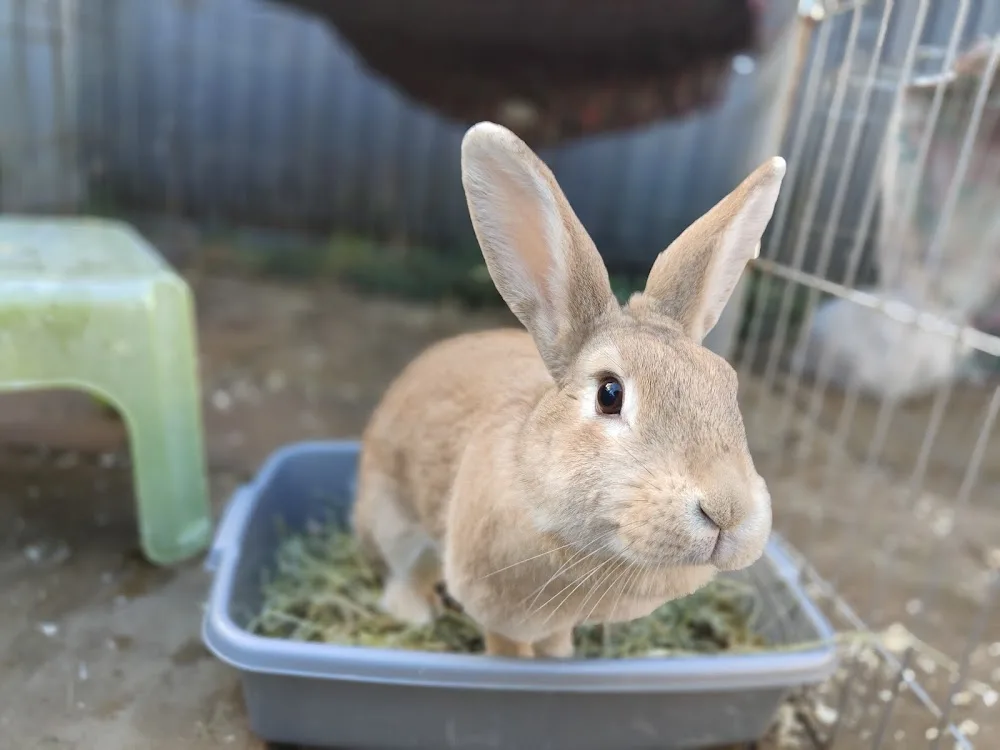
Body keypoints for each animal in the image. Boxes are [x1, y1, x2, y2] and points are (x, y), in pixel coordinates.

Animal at [350, 121, 785, 658]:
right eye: (609, 394)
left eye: (728, 385)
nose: (728, 511)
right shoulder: (500, 611)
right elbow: (507, 647)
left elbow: (556, 641)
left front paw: (562, 660)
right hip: (395, 523)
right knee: (405, 570)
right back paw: (413, 613)